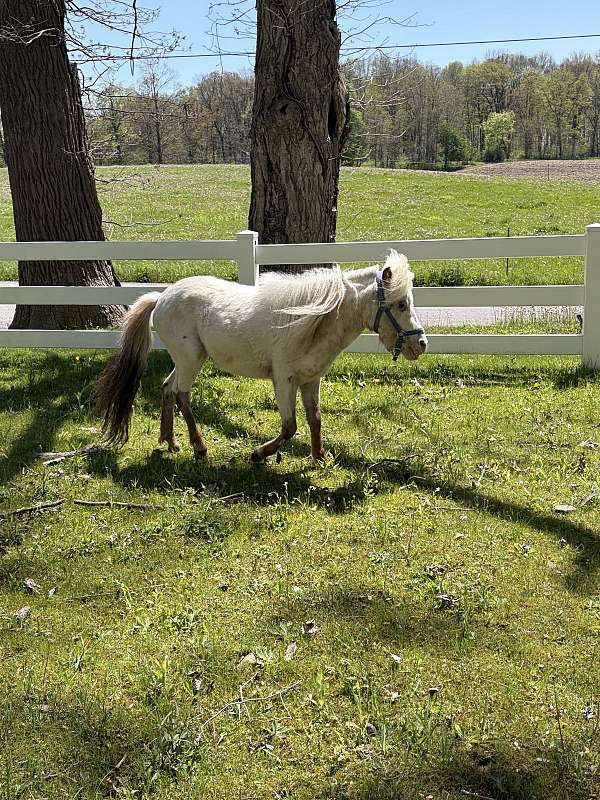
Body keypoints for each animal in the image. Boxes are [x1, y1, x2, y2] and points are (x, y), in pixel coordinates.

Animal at [94, 250, 428, 462]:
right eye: (400, 304)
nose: (421, 344)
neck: (313, 322)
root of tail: (161, 297)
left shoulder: (311, 381)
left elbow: (315, 419)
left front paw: (319, 458)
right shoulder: (284, 380)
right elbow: (290, 427)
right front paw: (258, 454)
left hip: (186, 360)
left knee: (166, 388)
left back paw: (171, 441)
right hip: (191, 361)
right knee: (181, 395)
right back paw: (199, 447)